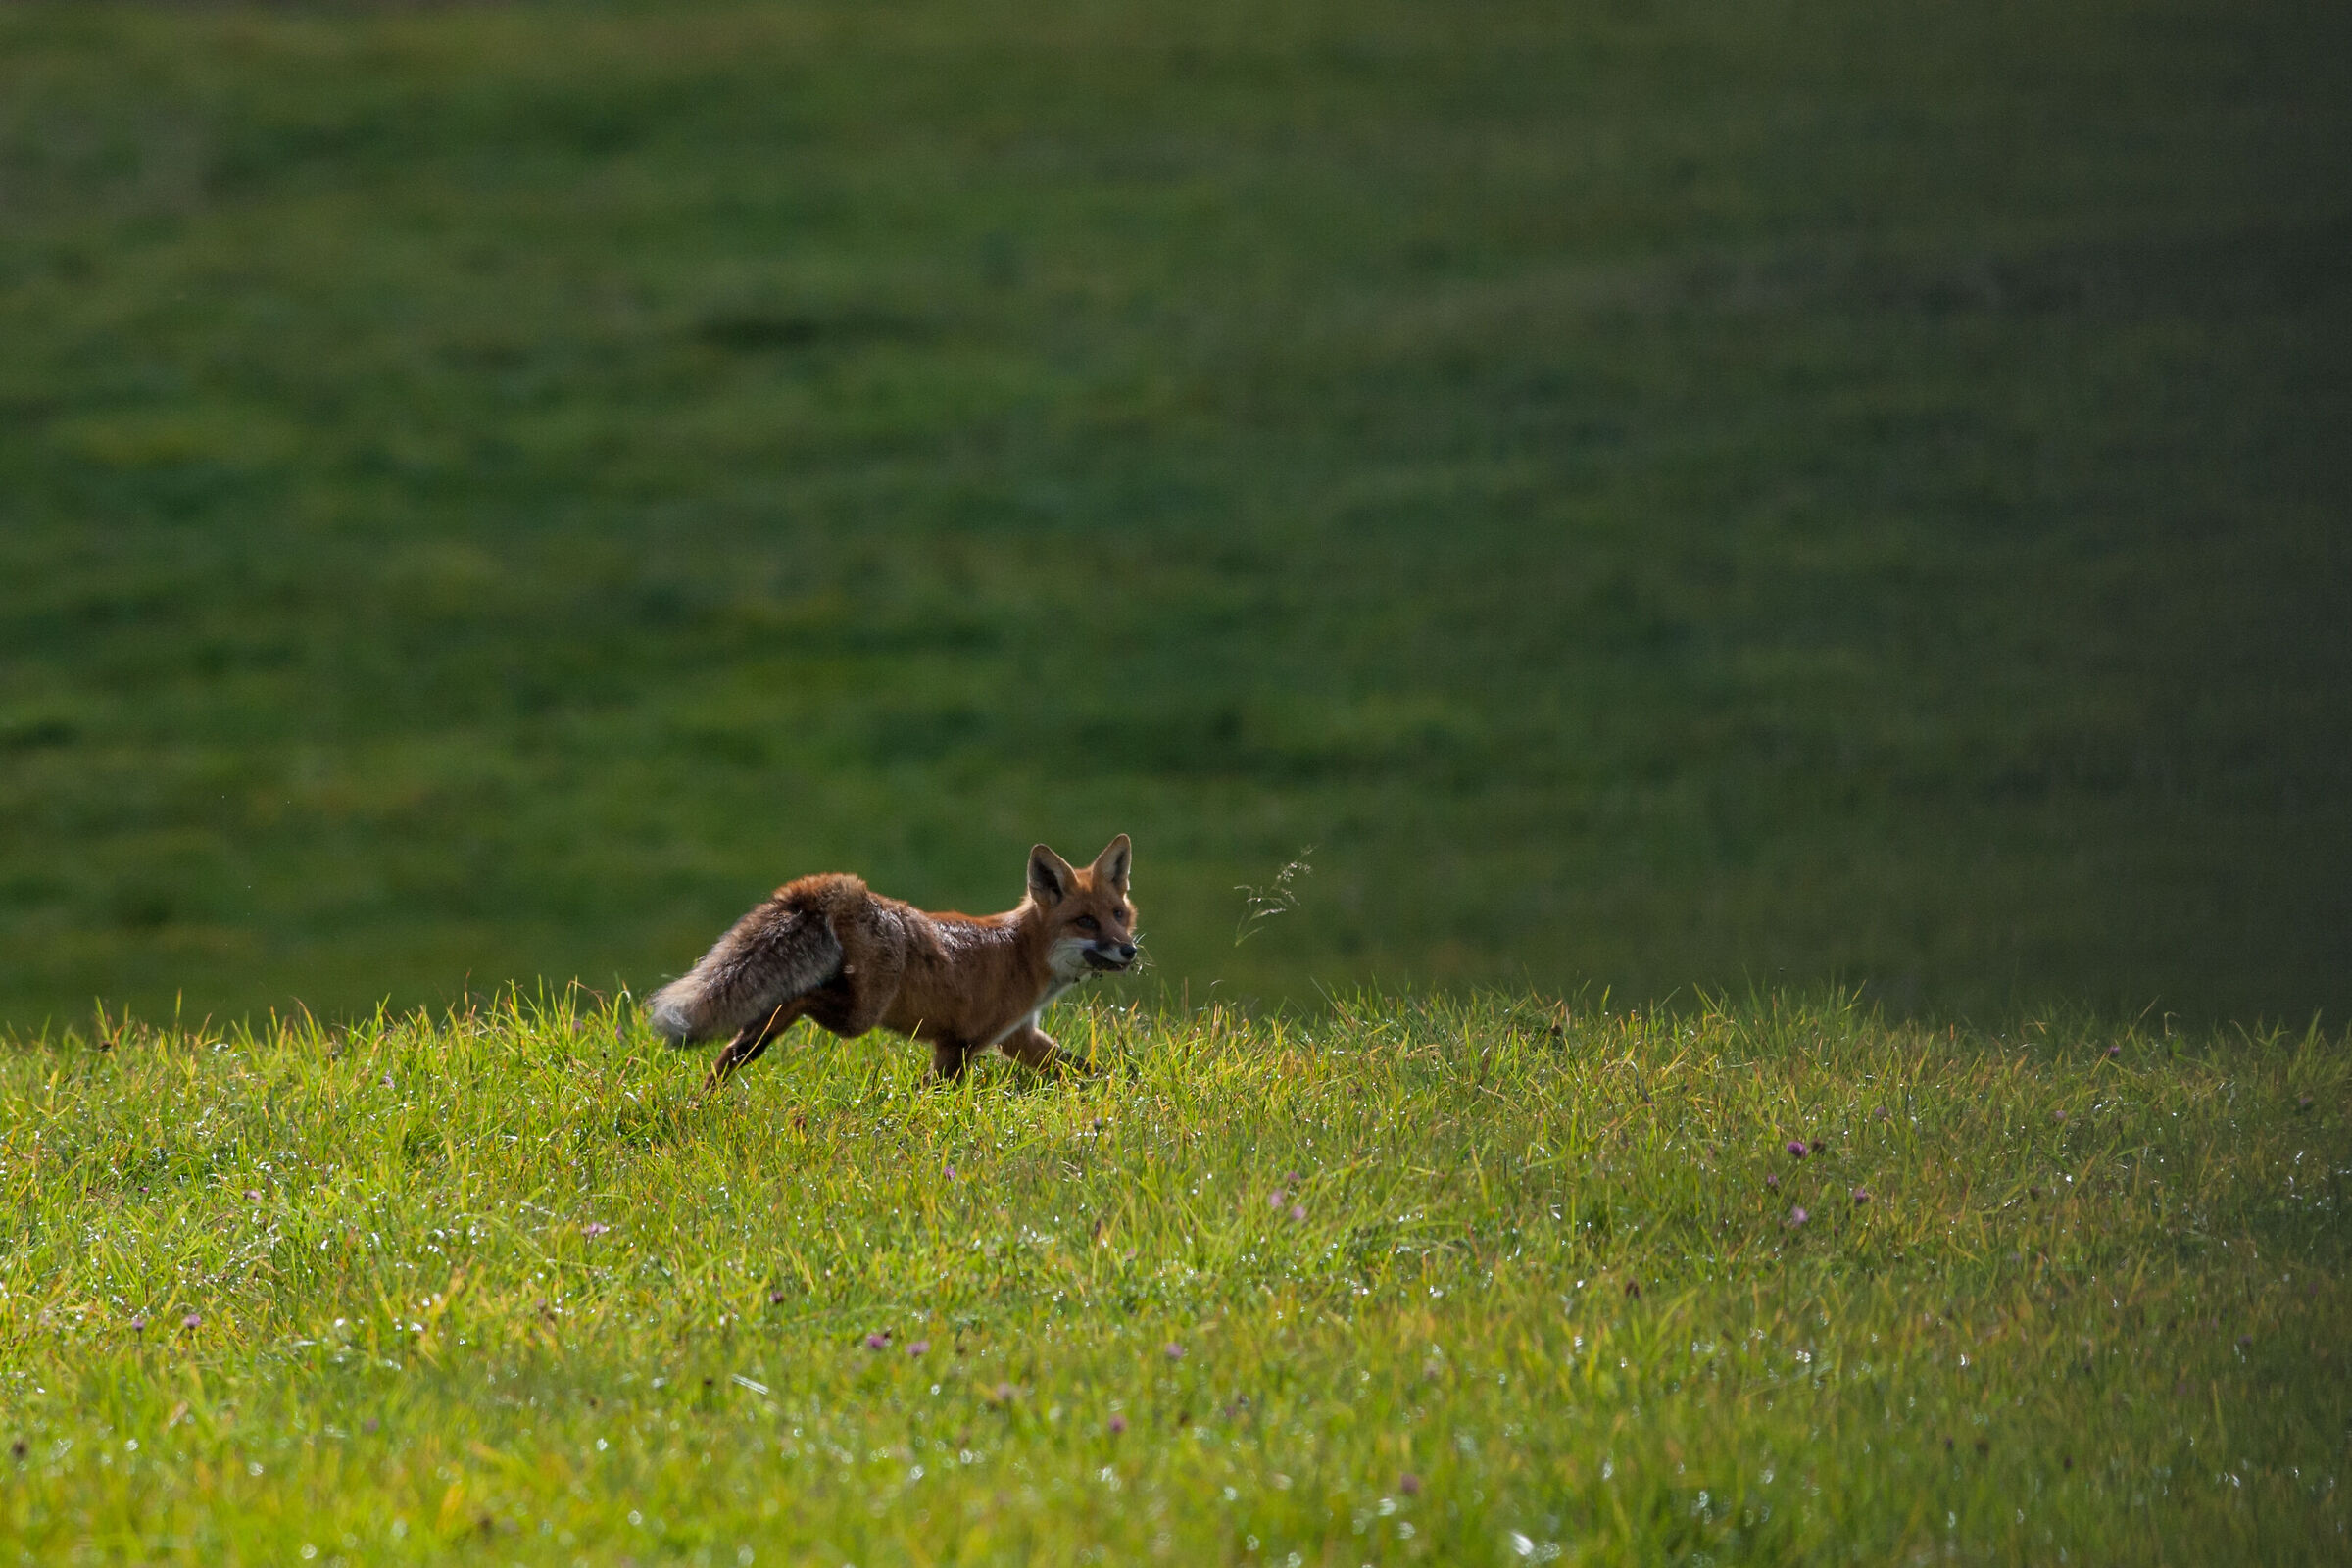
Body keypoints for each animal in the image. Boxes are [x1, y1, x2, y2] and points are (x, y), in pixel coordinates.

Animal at [647, 835, 1139, 1092]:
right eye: (1086, 921)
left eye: (1119, 916)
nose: (1129, 950)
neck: (1022, 954)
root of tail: (850, 889)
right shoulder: (960, 1044)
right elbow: (937, 1094)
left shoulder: (1018, 1037)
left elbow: (1086, 1069)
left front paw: (1128, 1087)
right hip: (859, 1016)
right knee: (801, 996)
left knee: (742, 1042)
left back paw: (705, 1098)